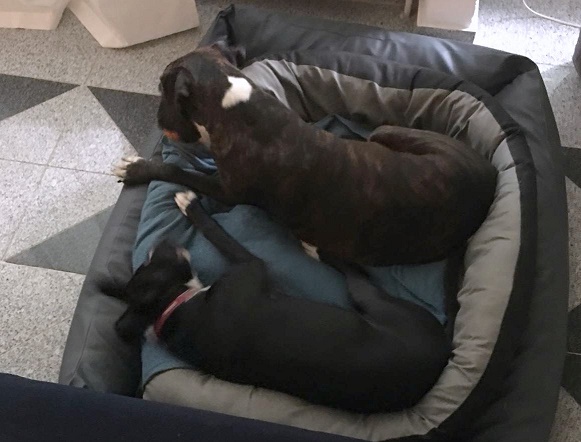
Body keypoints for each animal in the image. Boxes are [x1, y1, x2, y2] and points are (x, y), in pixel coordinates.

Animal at [113, 43, 497, 267]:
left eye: (162, 89)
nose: (157, 120)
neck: (235, 105)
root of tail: (489, 178)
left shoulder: (228, 191)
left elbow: (180, 172)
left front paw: (138, 168)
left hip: (386, 133)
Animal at [115, 191, 451, 414]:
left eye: (145, 263)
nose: (162, 241)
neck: (171, 308)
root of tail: (438, 361)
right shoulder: (253, 266)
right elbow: (221, 236)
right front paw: (191, 205)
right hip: (376, 301)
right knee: (355, 274)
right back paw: (317, 249)